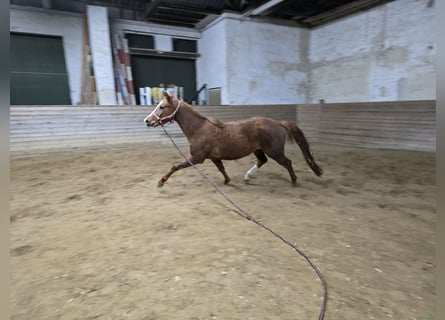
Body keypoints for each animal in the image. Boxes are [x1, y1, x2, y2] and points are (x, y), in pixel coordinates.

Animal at [144, 92, 320, 188]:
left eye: (161, 107)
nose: (147, 121)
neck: (199, 129)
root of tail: (278, 123)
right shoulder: (214, 157)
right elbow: (221, 169)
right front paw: (227, 180)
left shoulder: (197, 158)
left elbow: (175, 166)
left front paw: (161, 182)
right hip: (259, 150)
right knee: (262, 161)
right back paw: (247, 177)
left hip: (275, 151)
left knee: (287, 162)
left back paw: (294, 181)